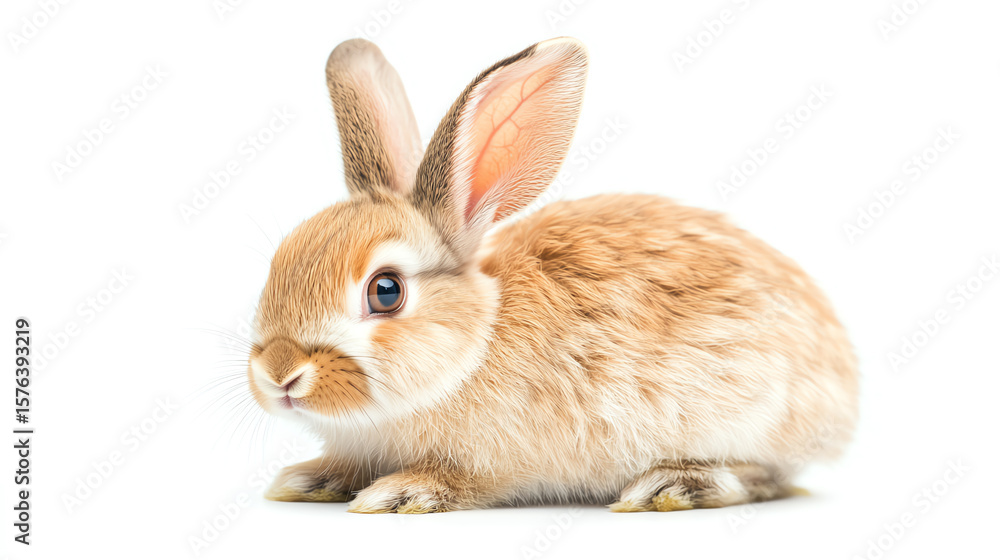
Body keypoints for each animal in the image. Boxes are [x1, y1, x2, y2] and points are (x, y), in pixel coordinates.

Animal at [247, 36, 858, 513]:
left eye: (386, 291)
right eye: (278, 263)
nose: (279, 374)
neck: (474, 344)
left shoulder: (492, 460)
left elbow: (461, 481)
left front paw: (400, 493)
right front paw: (310, 479)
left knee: (769, 475)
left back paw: (676, 484)